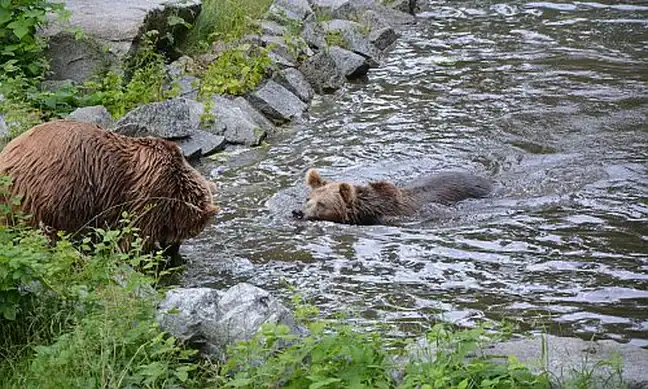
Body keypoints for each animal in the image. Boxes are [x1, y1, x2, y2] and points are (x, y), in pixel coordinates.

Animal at [0, 120, 220, 255]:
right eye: (189, 232)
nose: (172, 250)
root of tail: (7, 155)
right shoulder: (147, 194)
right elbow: (133, 235)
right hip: (51, 191)